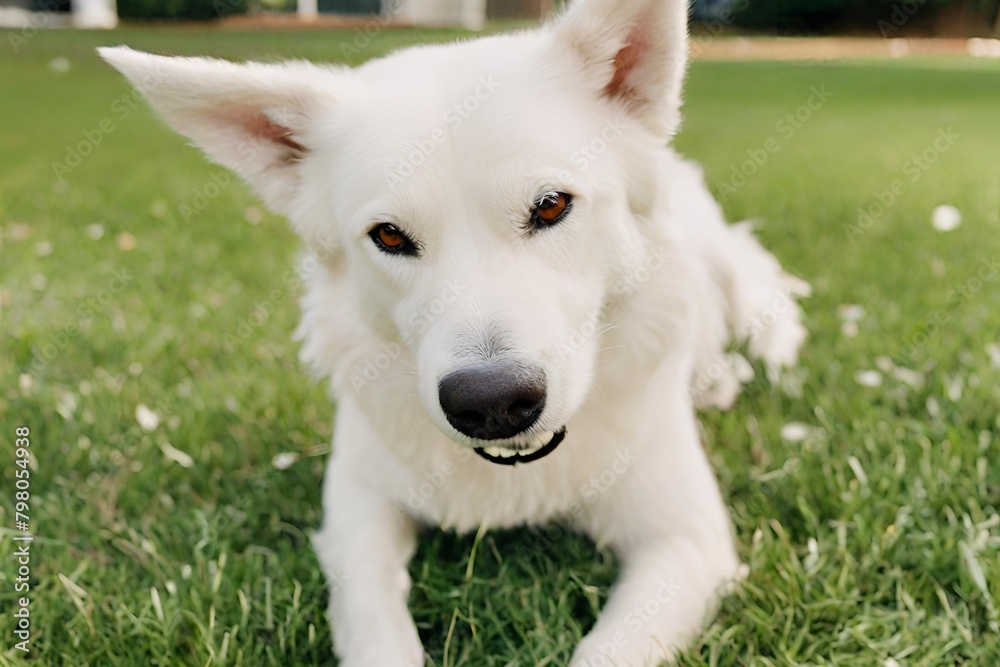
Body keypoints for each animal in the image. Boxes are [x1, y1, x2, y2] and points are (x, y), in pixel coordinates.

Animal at [99, 0, 804, 664]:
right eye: (389, 236)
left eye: (551, 205)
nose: (493, 404)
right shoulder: (356, 511)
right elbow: (374, 624)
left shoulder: (686, 542)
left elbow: (609, 649)